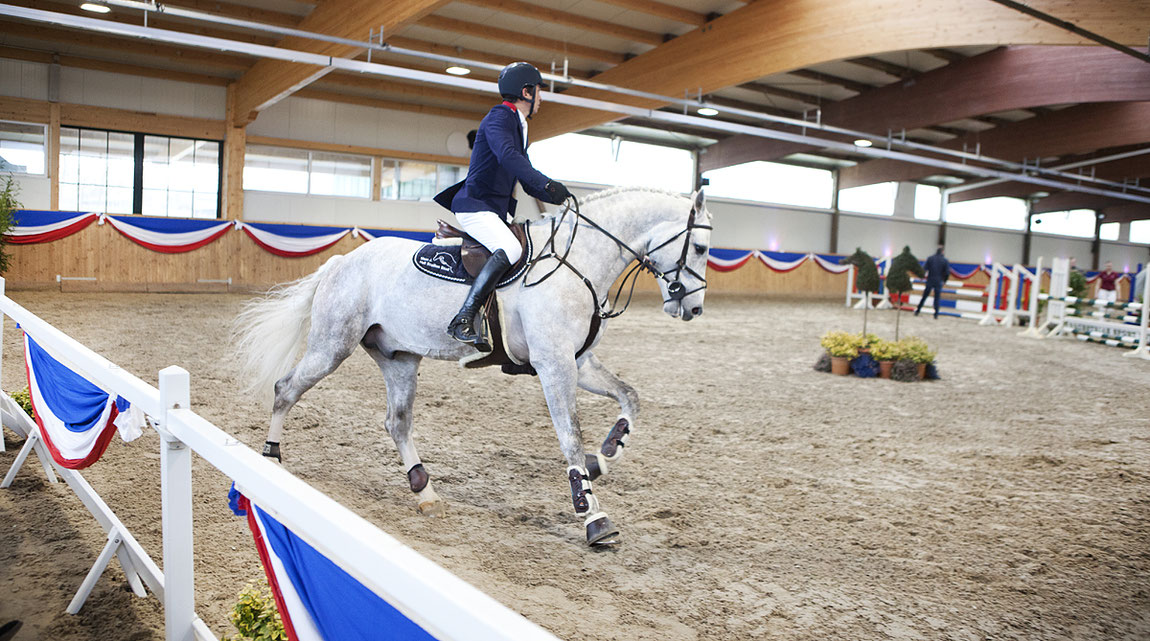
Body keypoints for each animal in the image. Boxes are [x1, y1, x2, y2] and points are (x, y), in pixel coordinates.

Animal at [232, 186, 708, 545]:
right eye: (701, 247)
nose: (694, 309)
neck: (579, 262)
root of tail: (341, 261)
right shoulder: (555, 364)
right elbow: (571, 437)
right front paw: (592, 515)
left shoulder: (581, 362)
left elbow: (630, 397)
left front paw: (605, 456)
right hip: (332, 346)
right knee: (286, 389)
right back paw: (271, 456)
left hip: (399, 357)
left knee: (397, 423)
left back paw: (425, 491)